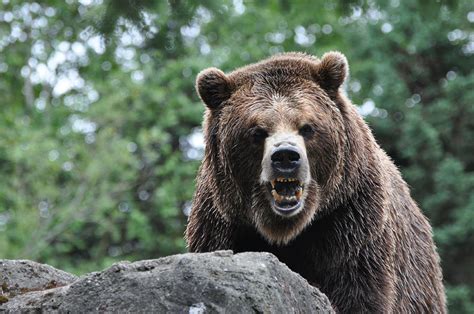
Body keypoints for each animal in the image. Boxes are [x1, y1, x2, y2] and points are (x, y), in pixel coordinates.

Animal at [184, 51, 444, 312]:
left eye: (307, 127)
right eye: (257, 131)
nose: (286, 156)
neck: (287, 230)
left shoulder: (351, 226)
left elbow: (359, 293)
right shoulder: (222, 226)